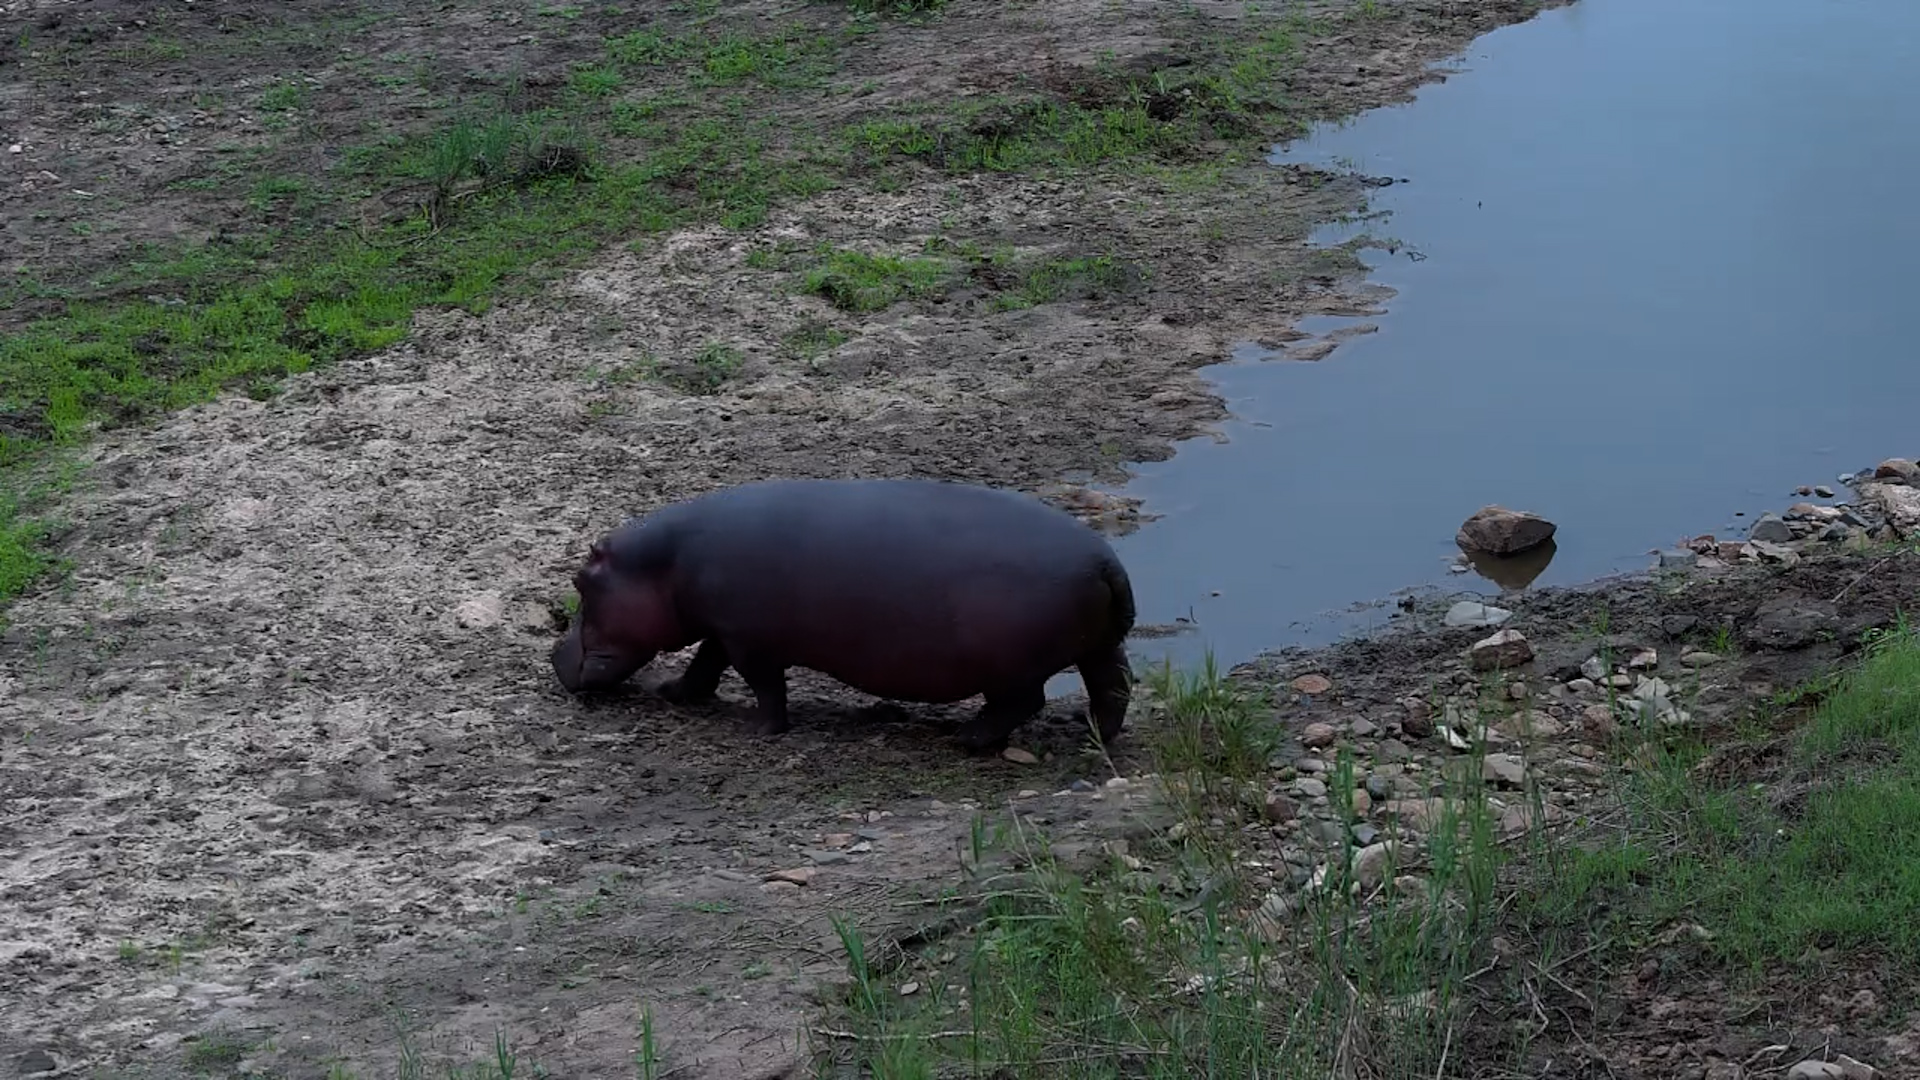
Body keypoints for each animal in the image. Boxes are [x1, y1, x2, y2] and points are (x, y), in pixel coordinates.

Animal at [550, 477, 1137, 753]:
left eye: (581, 582)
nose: (554, 654)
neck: (663, 564)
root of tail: (1104, 558)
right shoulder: (725, 631)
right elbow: (705, 664)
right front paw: (673, 692)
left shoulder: (749, 640)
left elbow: (765, 687)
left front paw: (757, 730)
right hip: (1099, 645)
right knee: (1112, 685)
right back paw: (1094, 733)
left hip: (1011, 669)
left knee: (1022, 702)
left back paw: (967, 739)